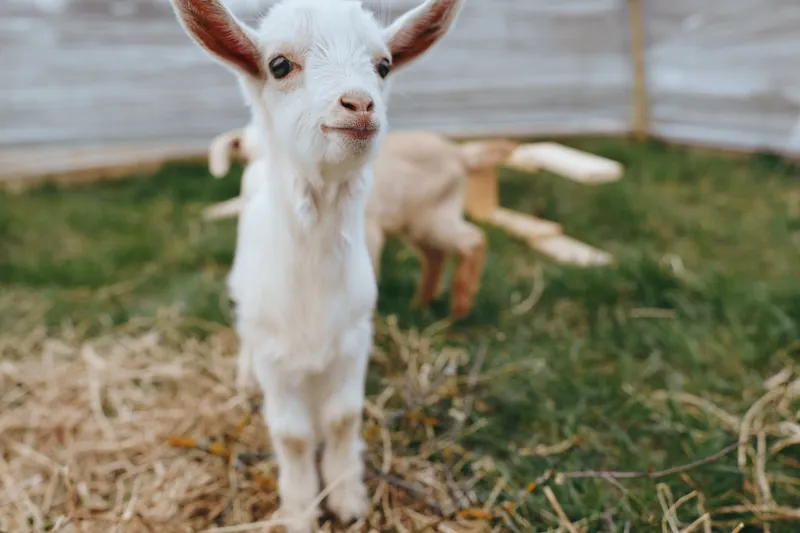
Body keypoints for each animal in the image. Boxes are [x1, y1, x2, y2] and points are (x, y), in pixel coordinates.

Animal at [168, 0, 464, 531]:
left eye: (383, 65)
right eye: (279, 64)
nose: (360, 105)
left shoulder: (352, 338)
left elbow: (342, 418)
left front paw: (347, 499)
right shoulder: (275, 353)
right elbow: (293, 435)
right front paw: (301, 509)